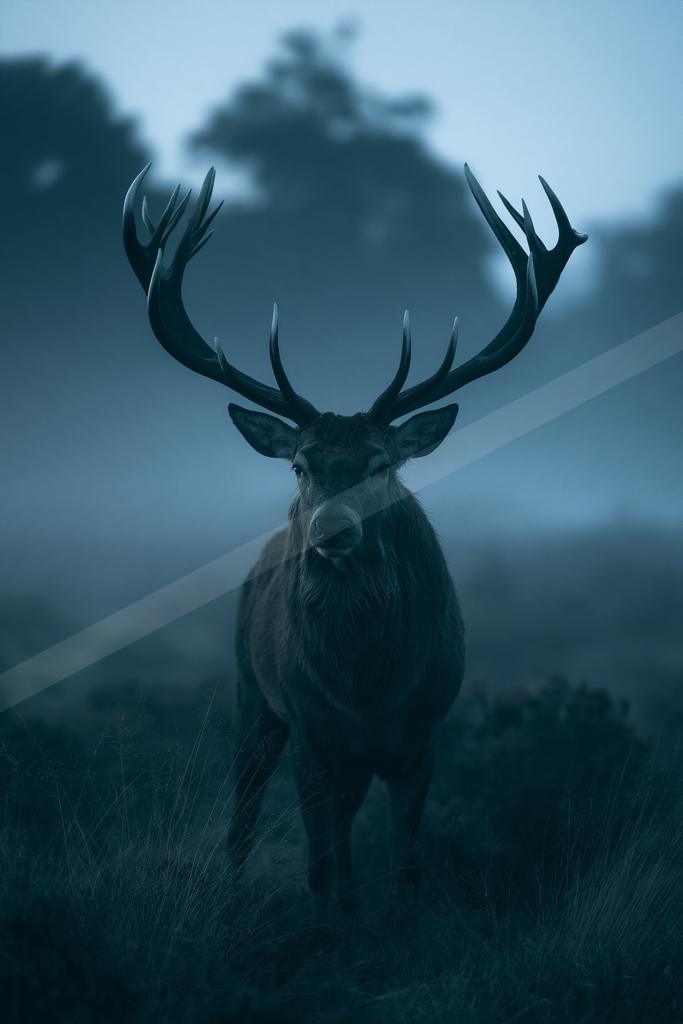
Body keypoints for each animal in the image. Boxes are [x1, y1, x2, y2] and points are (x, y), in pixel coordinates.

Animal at [123, 164, 586, 907]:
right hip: (250, 692)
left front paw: (395, 914)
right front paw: (331, 914)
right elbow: (319, 867)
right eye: (300, 464)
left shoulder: (423, 732)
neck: (367, 686)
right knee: (246, 810)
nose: (330, 531)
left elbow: (406, 864)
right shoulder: (313, 733)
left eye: (381, 465)